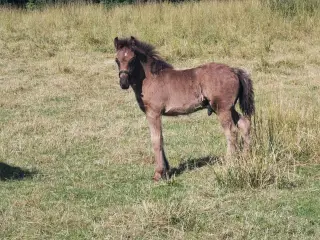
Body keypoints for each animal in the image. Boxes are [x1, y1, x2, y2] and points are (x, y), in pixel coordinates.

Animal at [114, 36, 254, 181]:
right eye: (117, 60)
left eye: (132, 59)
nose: (123, 83)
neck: (151, 78)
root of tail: (234, 70)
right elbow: (161, 138)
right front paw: (167, 170)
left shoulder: (153, 113)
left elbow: (156, 139)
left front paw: (159, 173)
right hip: (228, 108)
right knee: (244, 124)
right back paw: (245, 158)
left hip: (223, 109)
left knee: (231, 132)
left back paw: (229, 163)